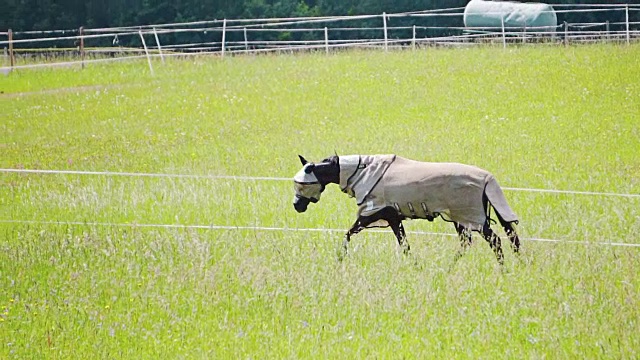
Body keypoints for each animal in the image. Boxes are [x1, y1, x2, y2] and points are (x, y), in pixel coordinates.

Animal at [294, 153, 520, 262]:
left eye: (302, 183)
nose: (297, 206)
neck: (361, 171)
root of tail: (487, 178)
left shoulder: (370, 214)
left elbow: (348, 233)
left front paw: (340, 257)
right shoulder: (393, 218)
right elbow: (404, 244)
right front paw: (415, 265)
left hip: (471, 218)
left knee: (495, 241)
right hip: (460, 220)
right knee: (481, 242)